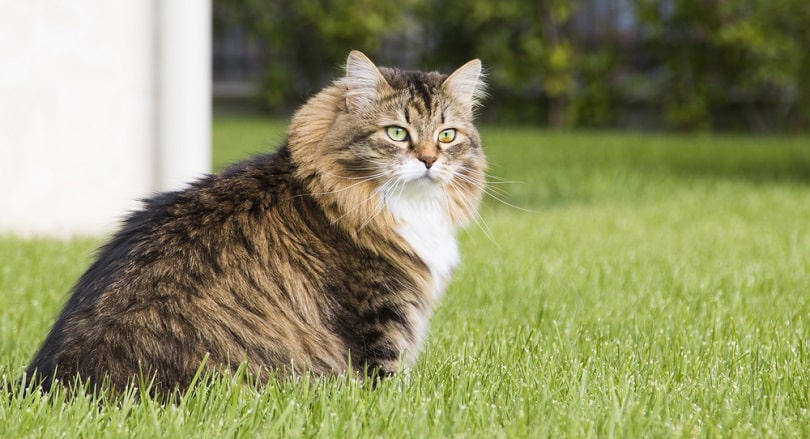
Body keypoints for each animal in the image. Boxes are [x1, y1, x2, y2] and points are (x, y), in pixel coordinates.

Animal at [26, 51, 486, 396]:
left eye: (447, 135)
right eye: (396, 133)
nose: (429, 160)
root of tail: (51, 384)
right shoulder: (380, 316)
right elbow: (388, 383)